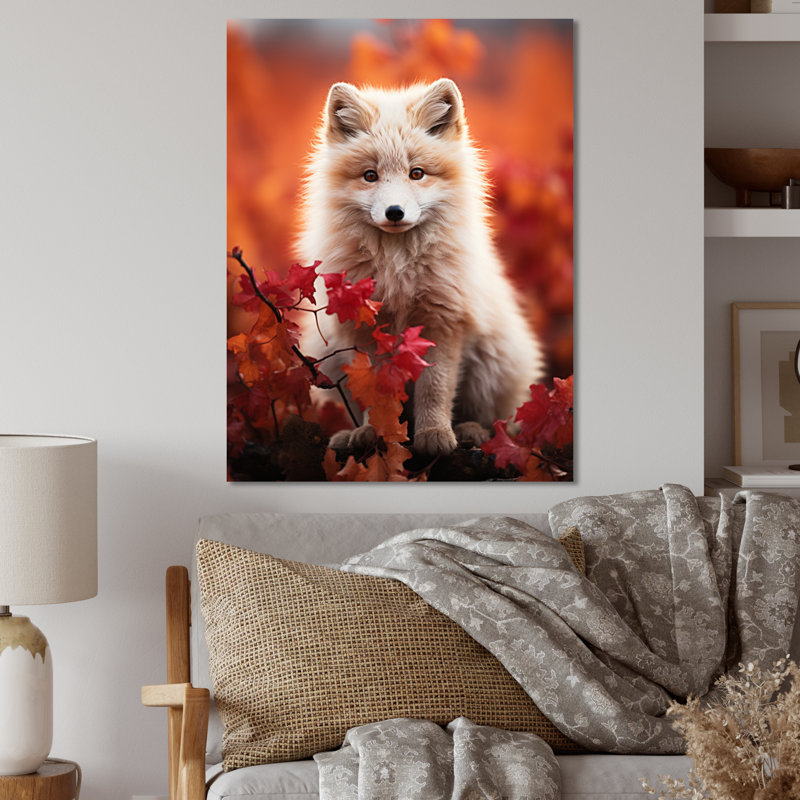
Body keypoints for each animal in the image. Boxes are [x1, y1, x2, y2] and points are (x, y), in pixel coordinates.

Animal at [298, 78, 545, 458]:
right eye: (370, 176)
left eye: (417, 173)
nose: (394, 212)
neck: (397, 268)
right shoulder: (367, 331)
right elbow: (375, 394)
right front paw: (375, 434)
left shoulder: (442, 321)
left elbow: (435, 388)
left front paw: (434, 435)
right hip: (328, 356)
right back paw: (351, 435)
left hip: (492, 364)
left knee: (499, 422)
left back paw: (473, 432)